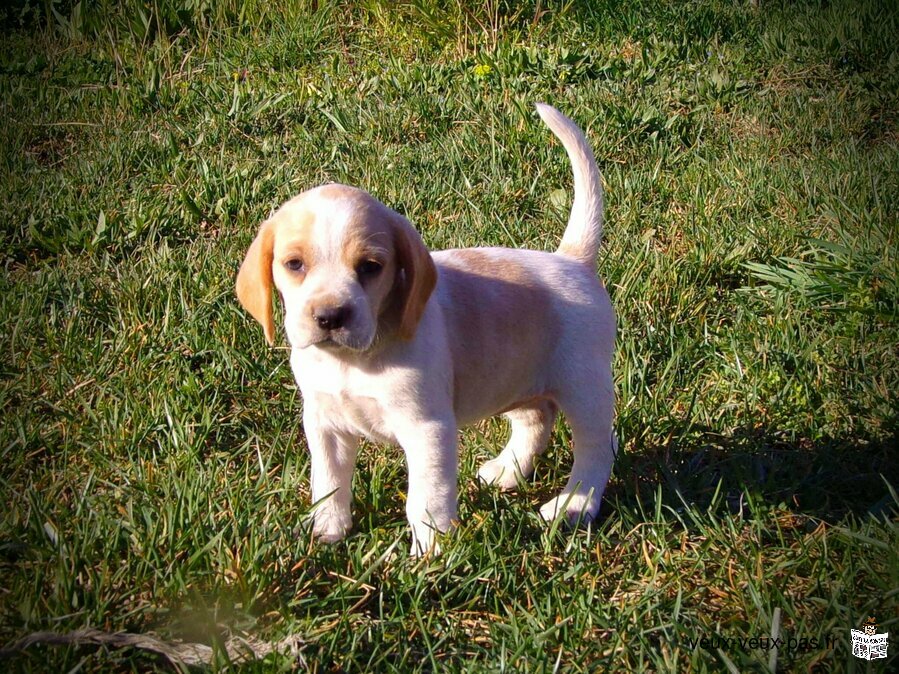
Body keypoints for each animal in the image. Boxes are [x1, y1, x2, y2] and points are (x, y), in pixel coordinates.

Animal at [236, 101, 616, 552]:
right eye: (294, 264)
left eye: (370, 267)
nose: (330, 317)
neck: (354, 360)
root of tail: (572, 260)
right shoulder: (324, 421)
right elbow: (328, 480)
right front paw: (326, 527)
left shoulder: (427, 430)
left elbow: (426, 498)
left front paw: (430, 552)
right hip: (518, 381)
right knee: (536, 421)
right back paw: (507, 471)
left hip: (584, 389)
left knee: (596, 450)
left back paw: (573, 506)